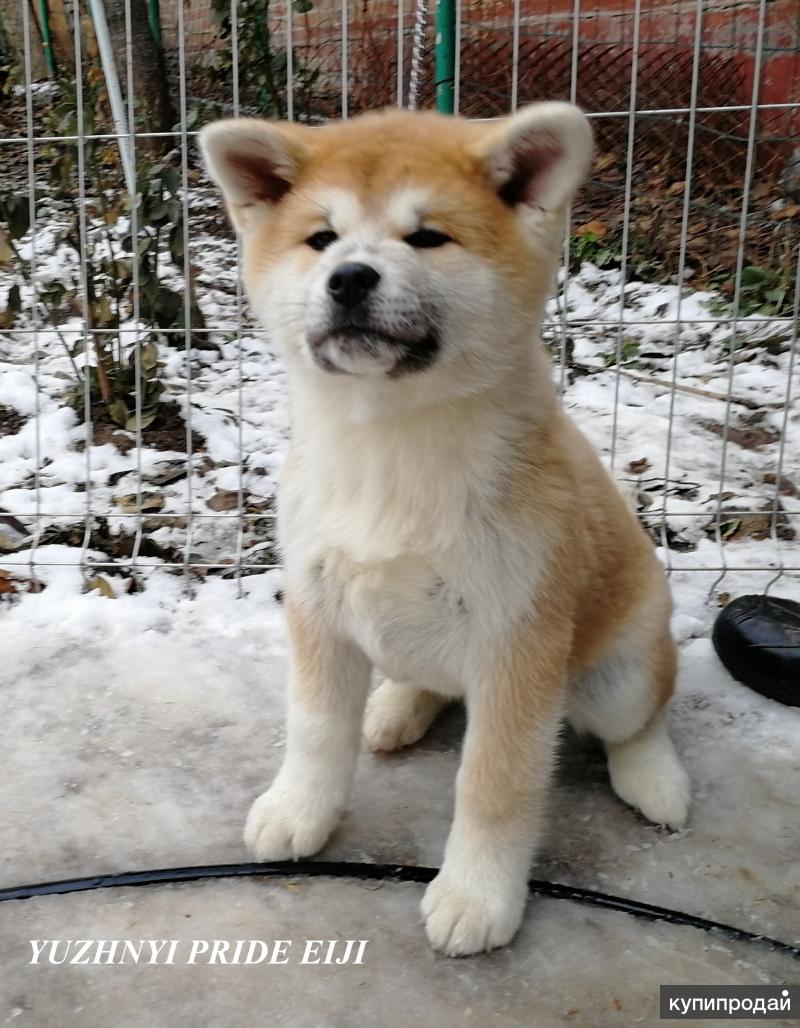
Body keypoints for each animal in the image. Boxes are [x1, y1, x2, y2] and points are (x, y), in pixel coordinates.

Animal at [197, 104, 686, 953]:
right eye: (321, 238)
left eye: (427, 237)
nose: (350, 278)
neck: (391, 444)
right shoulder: (318, 606)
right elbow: (314, 730)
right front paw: (299, 811)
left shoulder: (517, 642)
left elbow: (494, 783)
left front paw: (476, 896)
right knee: (422, 679)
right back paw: (395, 707)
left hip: (618, 673)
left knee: (642, 715)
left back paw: (654, 776)